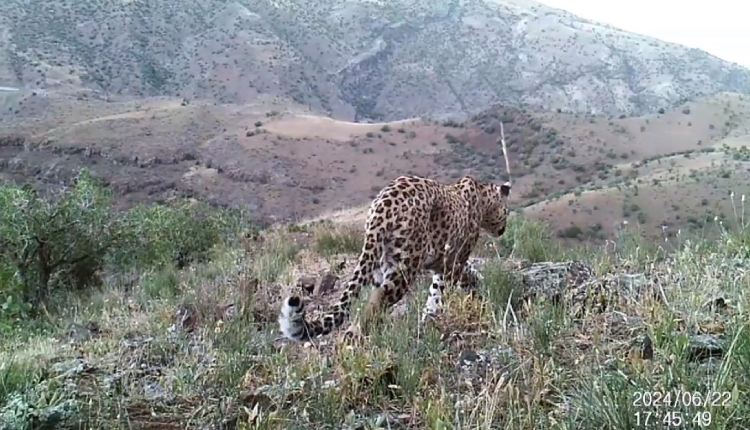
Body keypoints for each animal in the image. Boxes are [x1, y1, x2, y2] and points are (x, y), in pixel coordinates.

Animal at [280, 173, 516, 340]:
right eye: (506, 211)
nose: (504, 229)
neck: (483, 199)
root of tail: (382, 207)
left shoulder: (440, 262)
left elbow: (437, 290)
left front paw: (429, 315)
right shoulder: (453, 260)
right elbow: (457, 278)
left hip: (379, 262)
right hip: (405, 268)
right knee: (377, 299)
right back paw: (359, 334)